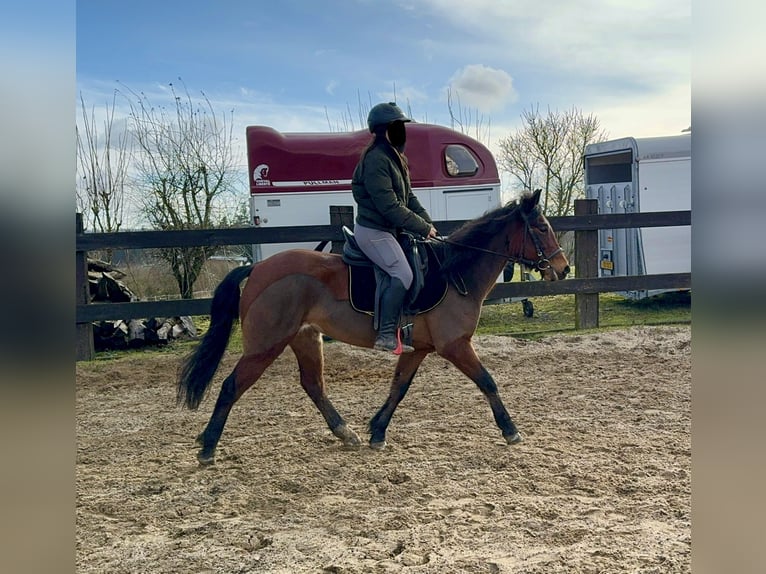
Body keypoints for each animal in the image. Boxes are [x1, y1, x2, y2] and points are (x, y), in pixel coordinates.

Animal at [177, 191, 568, 466]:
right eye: (542, 228)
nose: (563, 269)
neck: (454, 273)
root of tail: (257, 269)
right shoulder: (455, 346)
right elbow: (487, 381)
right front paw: (511, 430)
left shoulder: (418, 349)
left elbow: (399, 388)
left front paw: (377, 431)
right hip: (265, 345)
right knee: (232, 386)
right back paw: (208, 447)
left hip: (305, 338)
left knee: (313, 385)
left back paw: (345, 433)